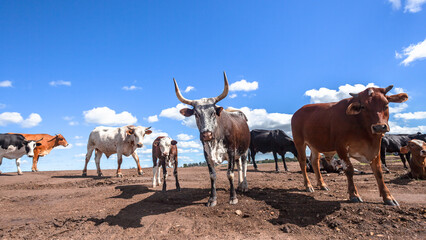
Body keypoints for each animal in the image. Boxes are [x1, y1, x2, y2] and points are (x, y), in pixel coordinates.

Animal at [173, 71, 250, 206]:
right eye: (196, 114)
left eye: (213, 113)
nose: (206, 135)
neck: (214, 141)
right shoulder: (207, 154)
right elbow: (212, 175)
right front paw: (212, 199)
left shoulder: (231, 151)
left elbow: (230, 174)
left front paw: (233, 197)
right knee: (239, 166)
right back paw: (240, 184)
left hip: (244, 149)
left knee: (244, 165)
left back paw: (244, 186)